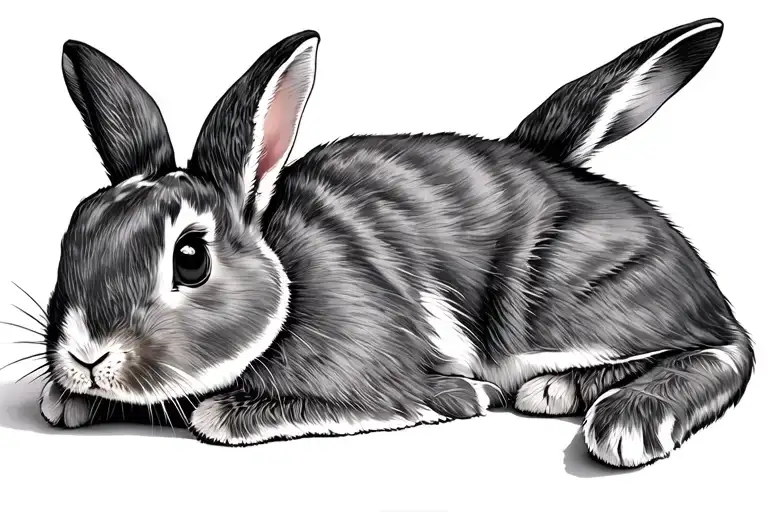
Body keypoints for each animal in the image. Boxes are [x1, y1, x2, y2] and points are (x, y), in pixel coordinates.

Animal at [38, 17, 754, 469]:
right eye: (76, 228)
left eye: (190, 258)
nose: (86, 355)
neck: (286, 280)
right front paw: (66, 399)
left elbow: (217, 418)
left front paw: (463, 398)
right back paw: (562, 392)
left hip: (578, 298)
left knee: (728, 349)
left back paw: (625, 419)